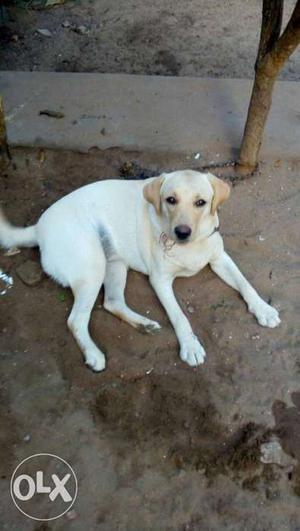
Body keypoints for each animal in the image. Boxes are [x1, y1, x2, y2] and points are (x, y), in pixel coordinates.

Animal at [0, 170, 282, 370]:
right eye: (170, 200)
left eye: (201, 202)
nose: (181, 232)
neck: (189, 246)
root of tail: (37, 227)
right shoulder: (160, 281)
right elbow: (179, 315)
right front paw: (190, 345)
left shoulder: (220, 259)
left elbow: (245, 284)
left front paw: (263, 309)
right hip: (92, 268)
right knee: (76, 320)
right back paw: (94, 354)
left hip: (115, 265)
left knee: (112, 302)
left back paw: (143, 324)